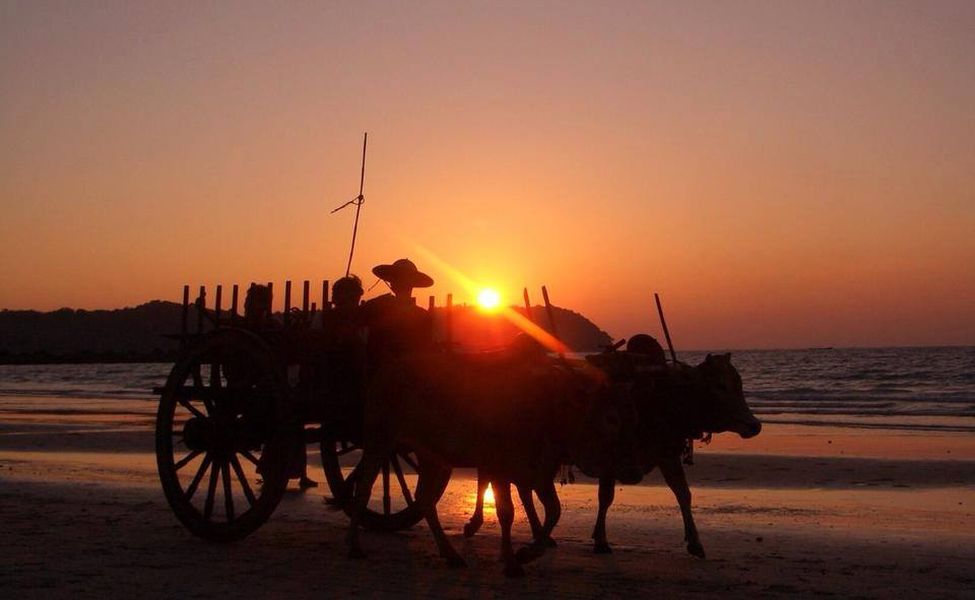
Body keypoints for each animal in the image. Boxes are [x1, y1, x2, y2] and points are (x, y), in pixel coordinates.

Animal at [346, 352, 644, 576]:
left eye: (632, 414)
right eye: (611, 418)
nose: (634, 471)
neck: (549, 410)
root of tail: (387, 369)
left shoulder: (538, 474)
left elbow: (553, 511)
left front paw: (526, 553)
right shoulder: (499, 468)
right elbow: (507, 512)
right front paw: (512, 561)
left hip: (433, 457)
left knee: (424, 499)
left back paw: (450, 554)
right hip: (379, 442)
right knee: (363, 489)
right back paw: (355, 547)